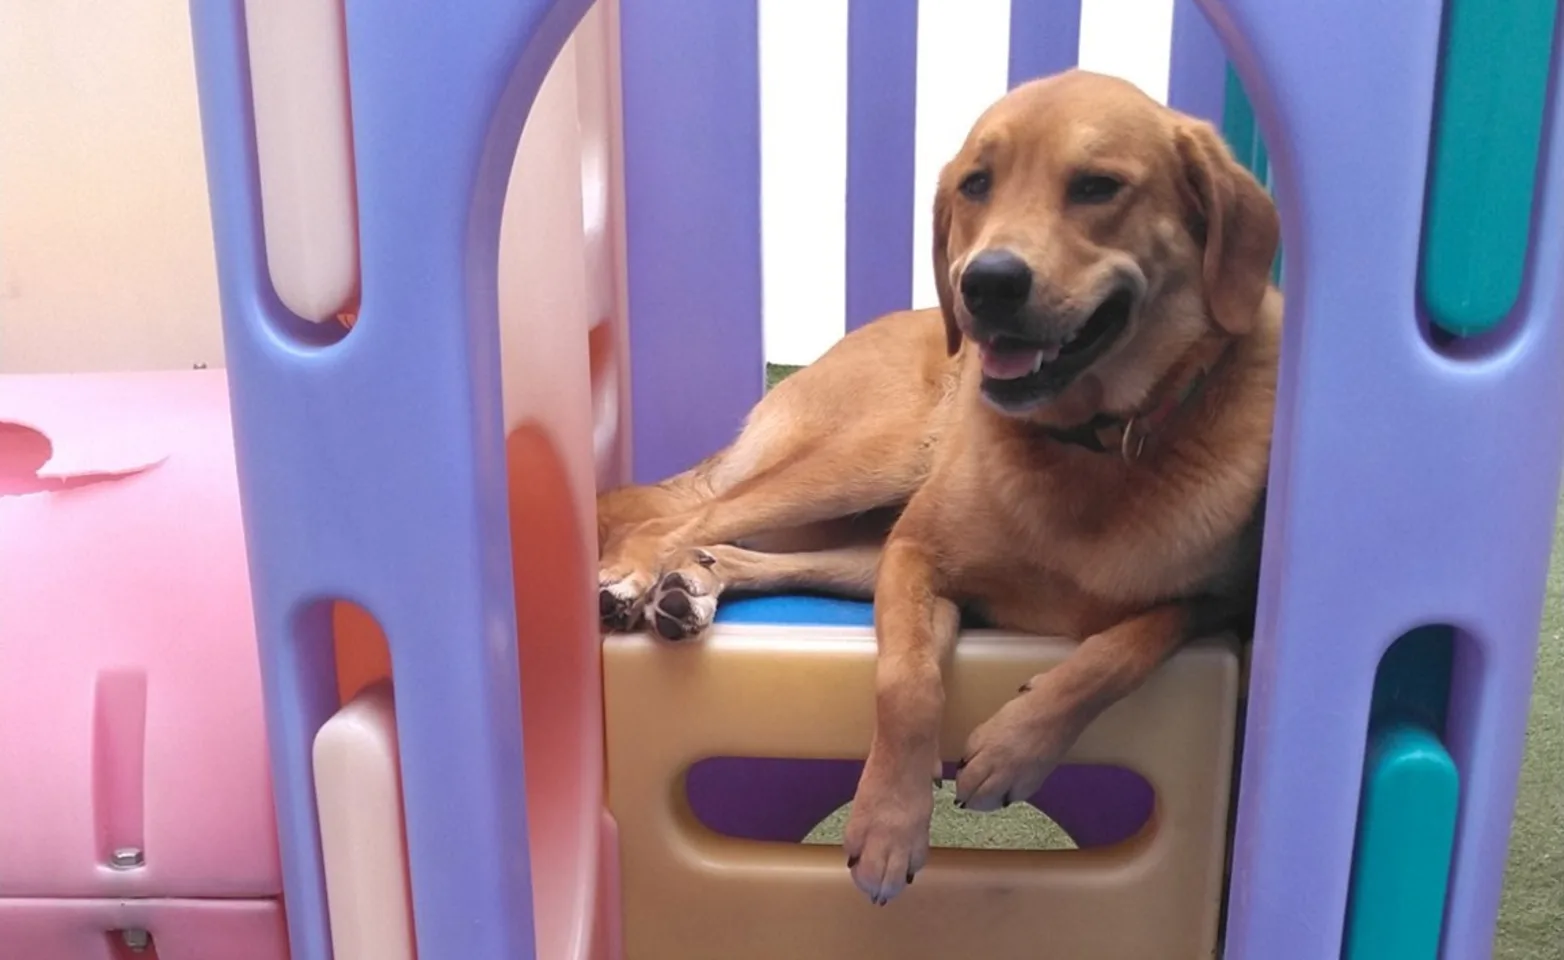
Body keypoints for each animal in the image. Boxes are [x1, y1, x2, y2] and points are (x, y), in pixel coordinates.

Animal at [591, 69, 1276, 913]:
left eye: (1098, 186)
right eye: (977, 184)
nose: (986, 283)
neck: (1087, 450)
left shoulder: (1224, 603)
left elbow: (1127, 644)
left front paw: (1016, 747)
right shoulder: (918, 557)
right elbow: (908, 682)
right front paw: (888, 830)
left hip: (861, 530)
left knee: (734, 542)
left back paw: (691, 587)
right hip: (870, 461)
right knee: (684, 516)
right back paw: (634, 577)